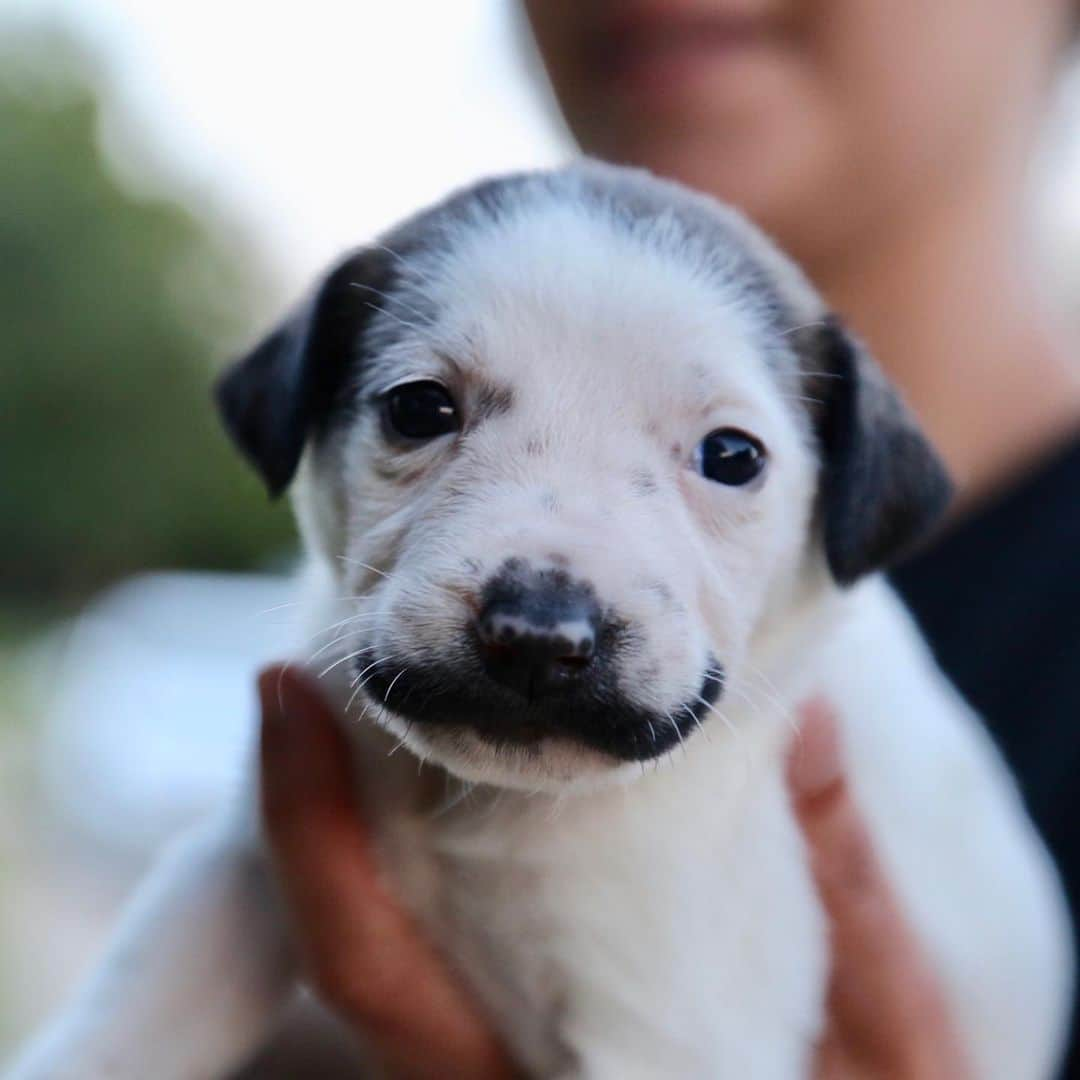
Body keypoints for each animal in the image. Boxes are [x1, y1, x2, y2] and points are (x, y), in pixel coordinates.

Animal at [8, 162, 1071, 1080]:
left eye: (732, 456)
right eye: (419, 408)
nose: (538, 637)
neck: (494, 809)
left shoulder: (669, 1030)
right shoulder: (237, 868)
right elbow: (137, 1009)